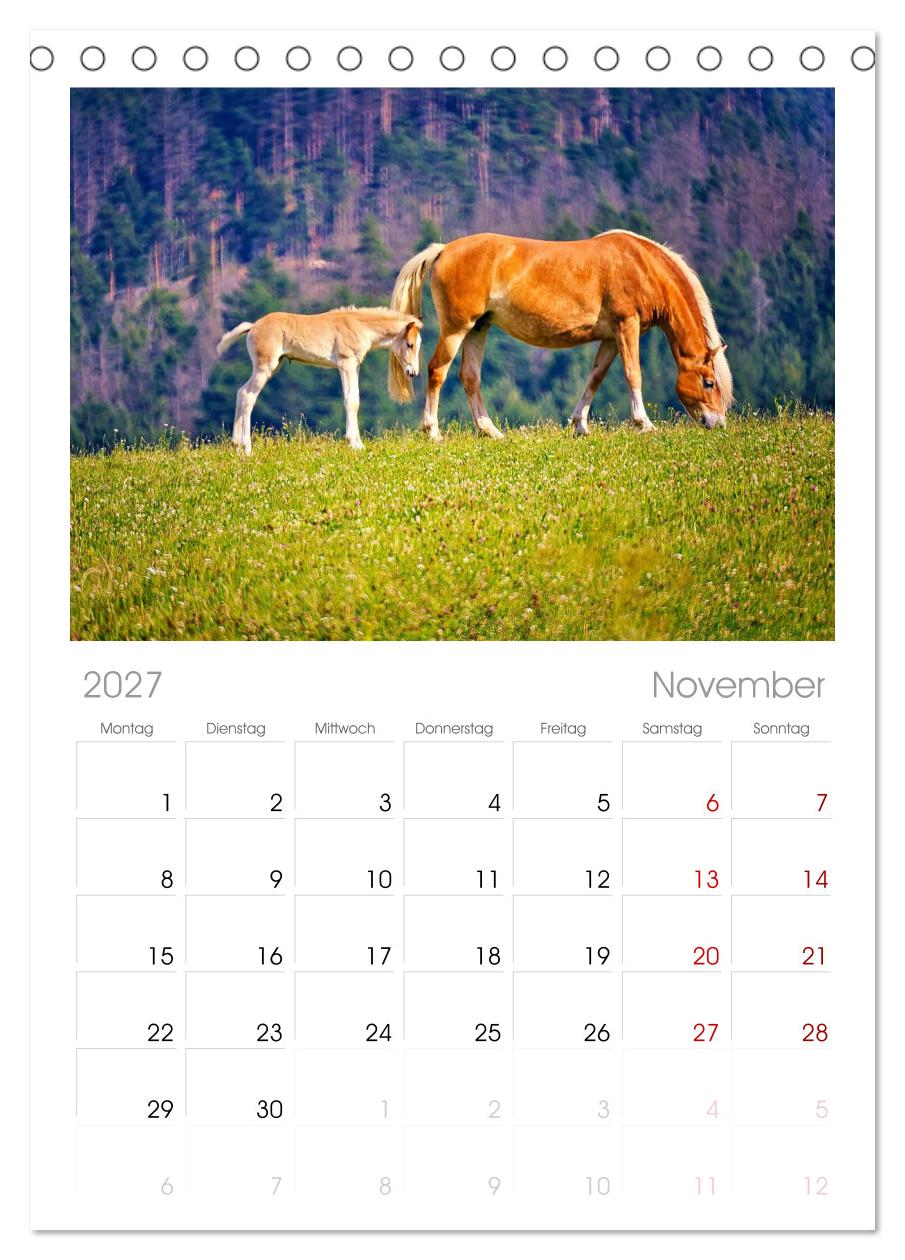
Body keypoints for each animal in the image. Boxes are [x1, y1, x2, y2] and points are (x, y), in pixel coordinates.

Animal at [217, 308, 422, 452]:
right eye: (410, 344)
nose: (413, 372)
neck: (359, 326)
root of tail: (253, 326)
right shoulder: (345, 363)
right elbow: (350, 401)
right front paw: (355, 444)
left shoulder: (354, 366)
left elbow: (355, 399)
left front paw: (358, 443)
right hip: (264, 367)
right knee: (248, 396)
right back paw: (246, 448)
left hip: (274, 366)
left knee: (241, 392)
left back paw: (236, 446)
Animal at [387, 230, 732, 440]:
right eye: (708, 382)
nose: (718, 423)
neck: (641, 264)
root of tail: (444, 249)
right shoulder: (627, 325)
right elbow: (633, 374)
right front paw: (643, 423)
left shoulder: (611, 337)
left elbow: (595, 377)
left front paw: (580, 424)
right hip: (457, 329)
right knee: (437, 371)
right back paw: (433, 431)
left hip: (478, 328)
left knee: (470, 377)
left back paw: (490, 431)